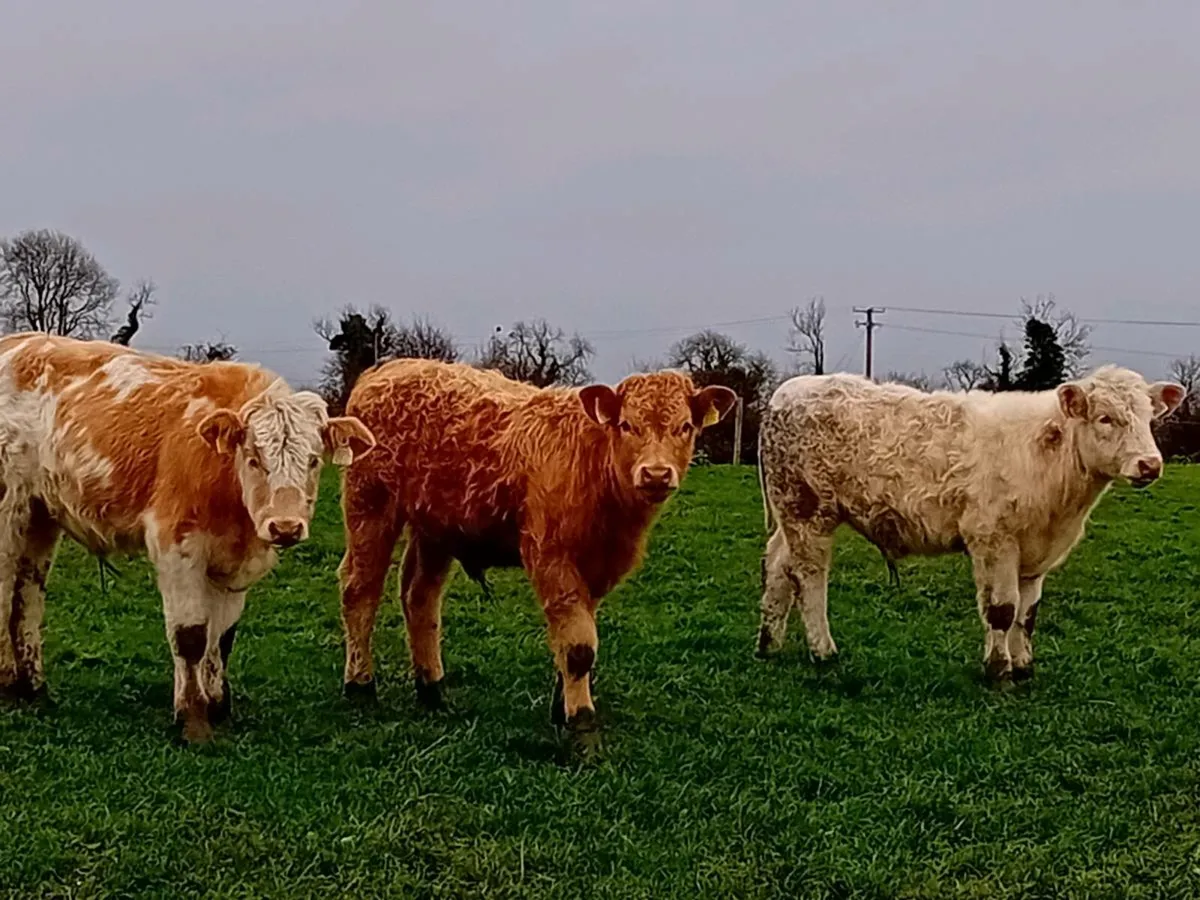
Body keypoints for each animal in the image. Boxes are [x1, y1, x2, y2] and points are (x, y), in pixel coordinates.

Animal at [0, 333, 375, 742]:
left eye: (313, 460)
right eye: (254, 457)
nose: (285, 526)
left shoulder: (232, 563)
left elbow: (221, 638)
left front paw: (219, 707)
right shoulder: (177, 547)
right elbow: (191, 636)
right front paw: (193, 719)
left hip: (39, 515)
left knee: (26, 598)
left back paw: (33, 688)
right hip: (8, 508)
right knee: (3, 594)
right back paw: (7, 687)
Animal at [337, 359, 736, 751]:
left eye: (685, 426)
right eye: (627, 425)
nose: (655, 474)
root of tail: (388, 369)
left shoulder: (596, 569)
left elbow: (577, 636)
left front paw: (562, 709)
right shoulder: (550, 556)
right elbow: (578, 648)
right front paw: (582, 728)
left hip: (436, 527)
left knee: (420, 598)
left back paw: (432, 690)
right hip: (369, 506)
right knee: (360, 591)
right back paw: (360, 686)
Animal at [756, 366, 1185, 681]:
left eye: (1149, 418)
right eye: (1105, 418)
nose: (1150, 464)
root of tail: (787, 391)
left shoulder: (1036, 553)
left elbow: (1028, 614)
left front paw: (1024, 666)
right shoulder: (993, 538)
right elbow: (1002, 609)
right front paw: (998, 670)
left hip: (790, 517)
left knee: (778, 566)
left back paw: (768, 644)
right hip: (808, 512)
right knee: (809, 576)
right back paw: (823, 650)